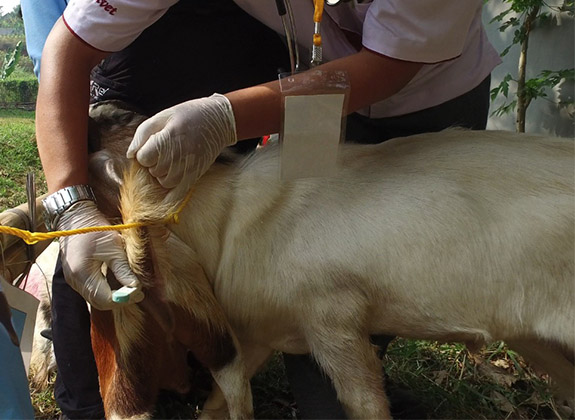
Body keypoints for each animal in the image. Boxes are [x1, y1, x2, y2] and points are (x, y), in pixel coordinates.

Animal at [86, 100, 575, 418]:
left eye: (128, 123)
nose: (98, 104)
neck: (230, 219)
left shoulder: (334, 321)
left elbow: (365, 404)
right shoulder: (258, 333)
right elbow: (218, 402)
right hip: (539, 341)